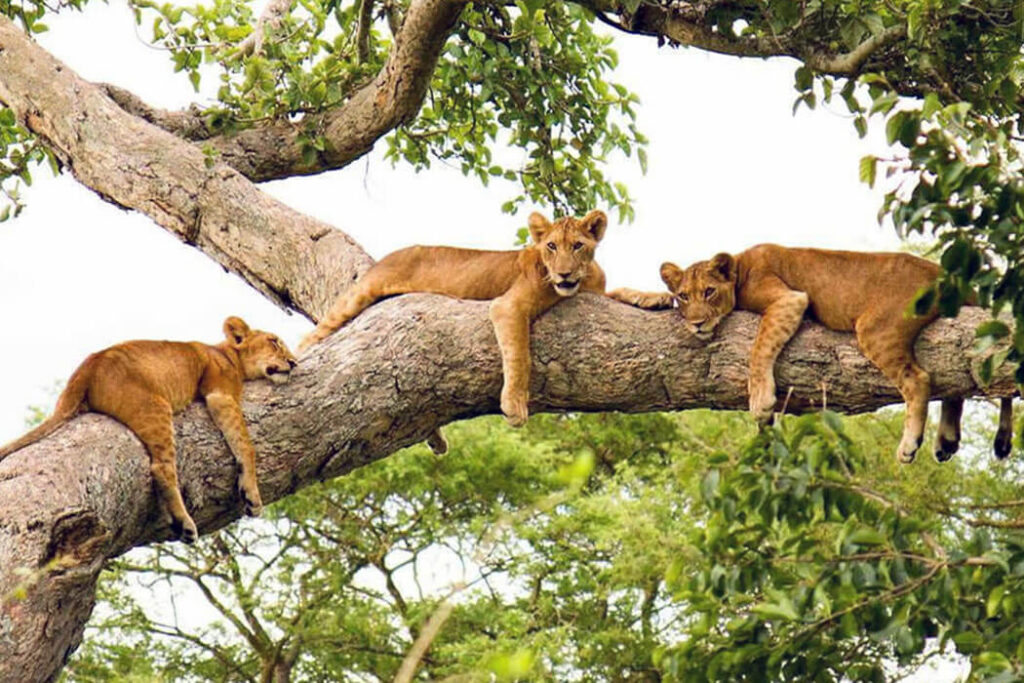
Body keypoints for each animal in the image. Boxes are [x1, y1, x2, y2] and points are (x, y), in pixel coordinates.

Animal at [0, 317, 297, 543]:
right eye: (274, 341)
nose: (294, 362)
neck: (226, 353)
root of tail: (88, 366)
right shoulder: (220, 393)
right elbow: (246, 445)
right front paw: (252, 495)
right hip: (156, 406)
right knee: (161, 468)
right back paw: (184, 523)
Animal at [298, 210, 609, 430]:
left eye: (577, 246)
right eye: (552, 246)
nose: (564, 274)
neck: (584, 279)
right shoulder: (508, 306)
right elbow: (520, 356)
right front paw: (514, 404)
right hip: (360, 294)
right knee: (311, 337)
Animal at [610, 244, 1013, 464]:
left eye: (708, 292)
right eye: (683, 296)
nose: (696, 324)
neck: (739, 265)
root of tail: (946, 273)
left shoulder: (789, 299)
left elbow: (759, 348)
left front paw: (761, 400)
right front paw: (629, 294)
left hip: (876, 328)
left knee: (920, 380)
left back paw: (910, 444)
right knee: (955, 384)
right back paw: (946, 440)